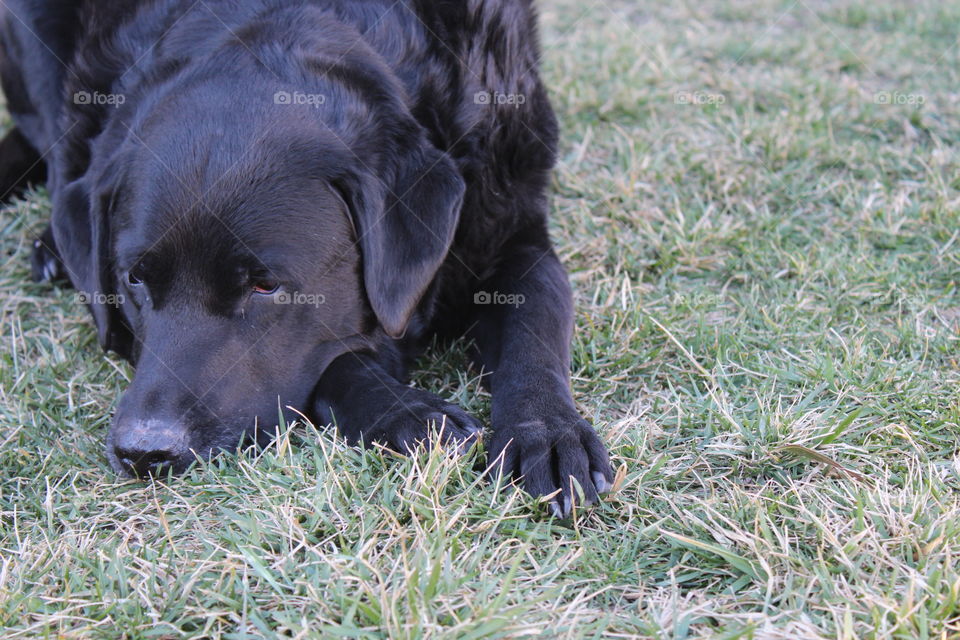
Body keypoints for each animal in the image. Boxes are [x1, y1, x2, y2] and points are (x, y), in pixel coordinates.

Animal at [0, 0, 612, 516]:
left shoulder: (514, 230)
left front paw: (547, 433)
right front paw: (407, 413)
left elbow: (536, 320)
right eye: (135, 279)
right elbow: (333, 363)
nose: (145, 451)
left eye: (265, 285)